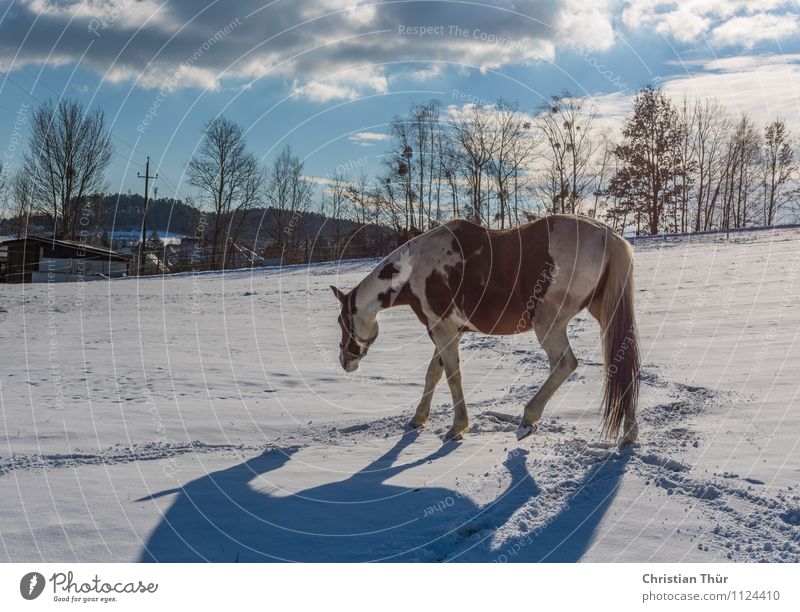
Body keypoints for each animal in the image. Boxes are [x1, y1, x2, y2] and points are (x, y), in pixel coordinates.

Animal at [330, 215, 636, 444]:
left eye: (341, 321)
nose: (345, 361)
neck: (414, 269)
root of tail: (609, 237)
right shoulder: (446, 332)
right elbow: (433, 375)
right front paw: (418, 419)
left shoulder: (443, 331)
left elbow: (452, 377)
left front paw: (457, 427)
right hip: (604, 316)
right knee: (622, 364)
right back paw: (630, 433)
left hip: (549, 324)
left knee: (565, 363)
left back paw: (529, 417)